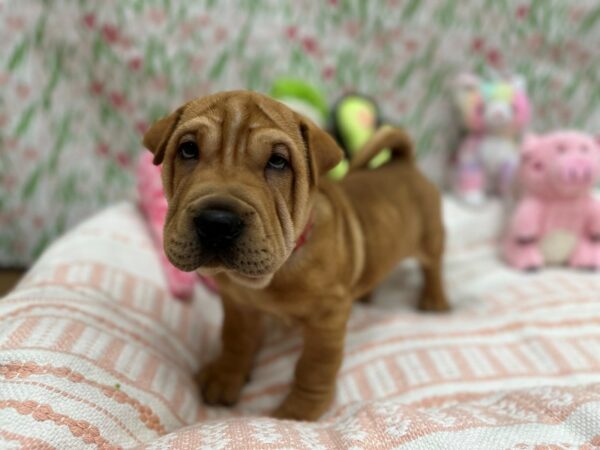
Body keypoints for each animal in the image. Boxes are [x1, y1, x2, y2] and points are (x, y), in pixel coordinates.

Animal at [143, 91, 448, 422]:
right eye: (188, 150)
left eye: (278, 161)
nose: (217, 222)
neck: (276, 272)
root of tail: (404, 162)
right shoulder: (238, 305)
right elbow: (235, 339)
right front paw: (225, 377)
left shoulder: (328, 318)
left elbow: (314, 367)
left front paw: (299, 412)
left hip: (431, 238)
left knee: (434, 268)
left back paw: (435, 300)